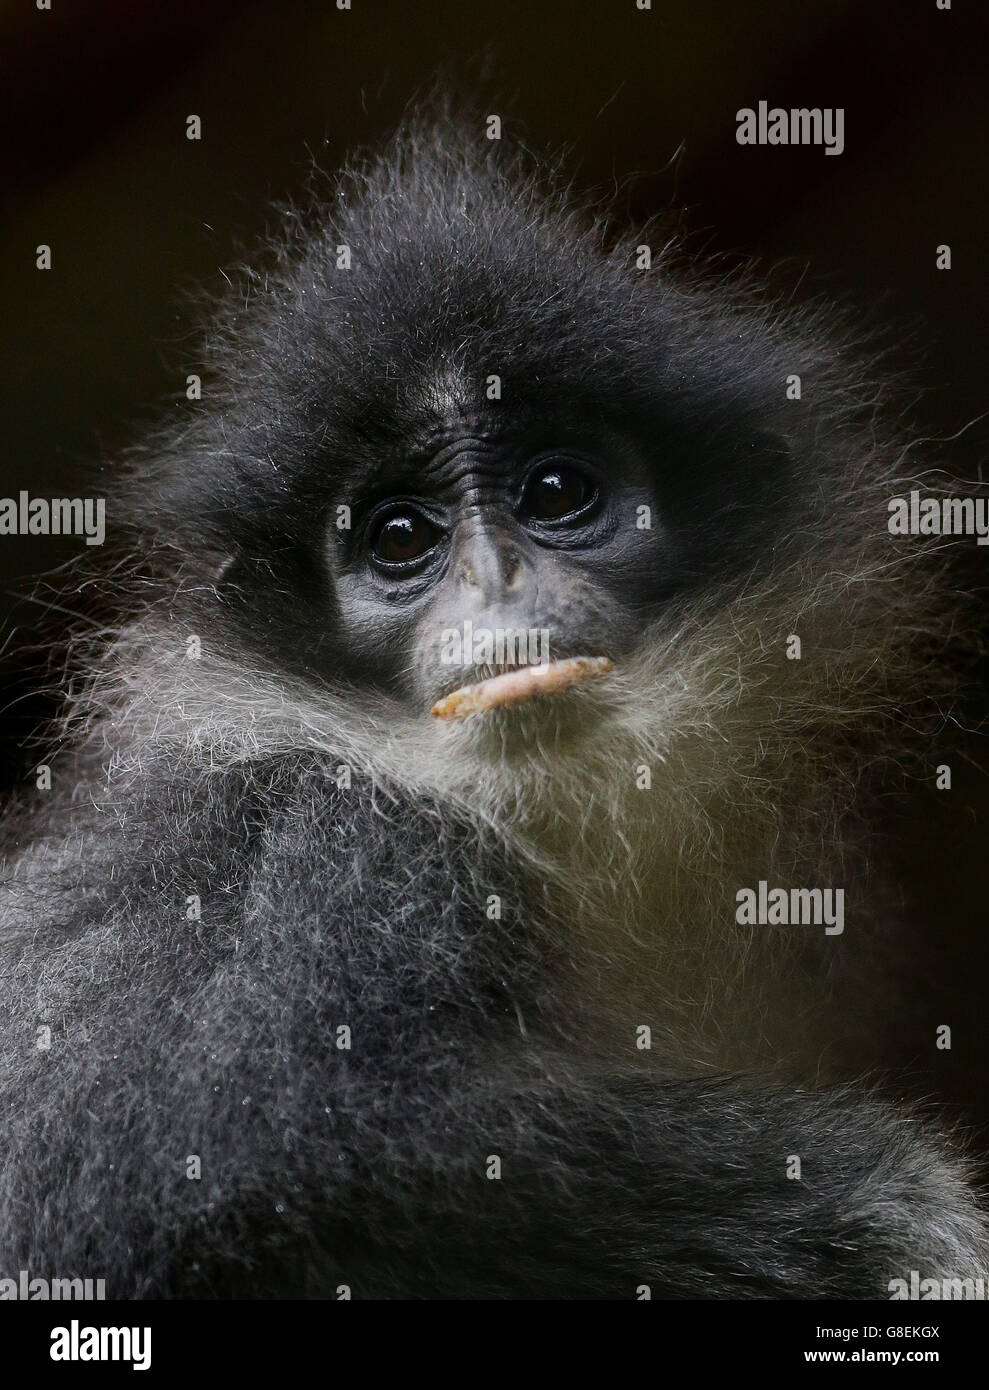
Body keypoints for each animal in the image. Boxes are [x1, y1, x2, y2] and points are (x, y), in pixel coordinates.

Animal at [0, 110, 987, 1300]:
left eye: (555, 492)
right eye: (399, 539)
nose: (494, 582)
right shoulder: (324, 839)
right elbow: (217, 1161)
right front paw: (900, 1214)